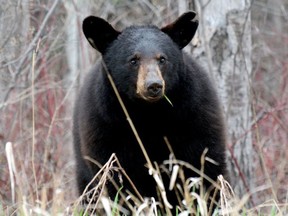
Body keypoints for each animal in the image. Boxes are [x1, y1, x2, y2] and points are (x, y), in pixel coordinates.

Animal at [73, 11, 226, 212]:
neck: (149, 115)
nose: (153, 85)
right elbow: (117, 183)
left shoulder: (194, 120)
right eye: (133, 60)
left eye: (162, 59)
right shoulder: (107, 130)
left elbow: (203, 172)